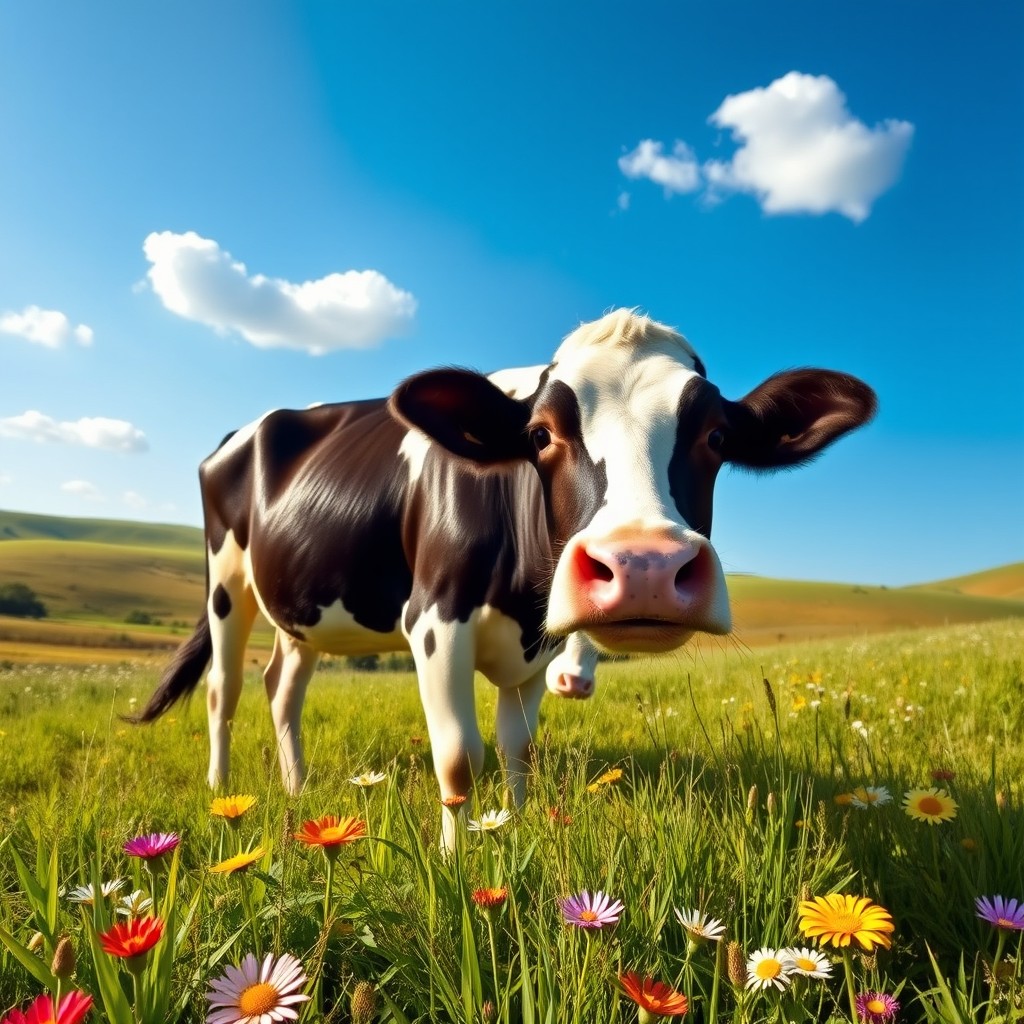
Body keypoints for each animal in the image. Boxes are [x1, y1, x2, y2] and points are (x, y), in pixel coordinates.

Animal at [135, 309, 875, 849]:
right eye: (540, 435)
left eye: (717, 437)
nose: (644, 567)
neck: (523, 600)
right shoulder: (434, 622)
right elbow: (460, 756)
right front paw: (455, 860)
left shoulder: (536, 649)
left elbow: (518, 749)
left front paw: (514, 831)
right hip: (227, 584)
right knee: (224, 690)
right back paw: (221, 791)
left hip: (303, 606)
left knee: (282, 688)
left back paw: (296, 788)